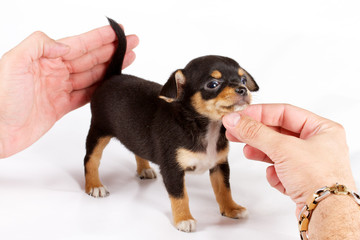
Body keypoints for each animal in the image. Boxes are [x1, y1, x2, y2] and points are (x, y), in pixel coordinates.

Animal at [84, 18, 258, 232]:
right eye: (213, 84)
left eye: (243, 79)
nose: (242, 89)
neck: (207, 126)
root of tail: (113, 76)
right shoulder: (172, 169)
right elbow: (180, 196)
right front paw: (184, 218)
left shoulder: (219, 165)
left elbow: (224, 189)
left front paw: (231, 208)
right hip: (99, 131)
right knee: (91, 159)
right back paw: (94, 185)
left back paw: (144, 168)